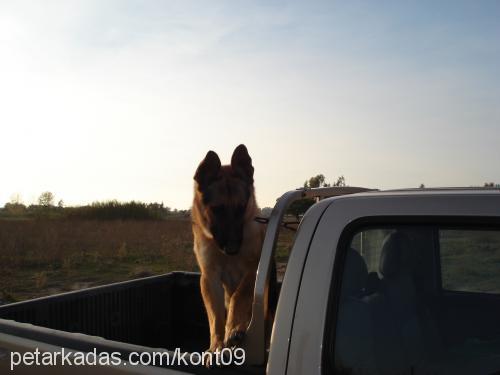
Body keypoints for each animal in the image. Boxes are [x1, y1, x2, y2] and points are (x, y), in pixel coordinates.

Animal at [191, 145, 268, 356]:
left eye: (241, 208)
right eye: (217, 209)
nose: (232, 248)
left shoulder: (252, 271)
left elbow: (239, 296)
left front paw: (233, 327)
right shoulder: (209, 278)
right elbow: (216, 316)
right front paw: (216, 345)